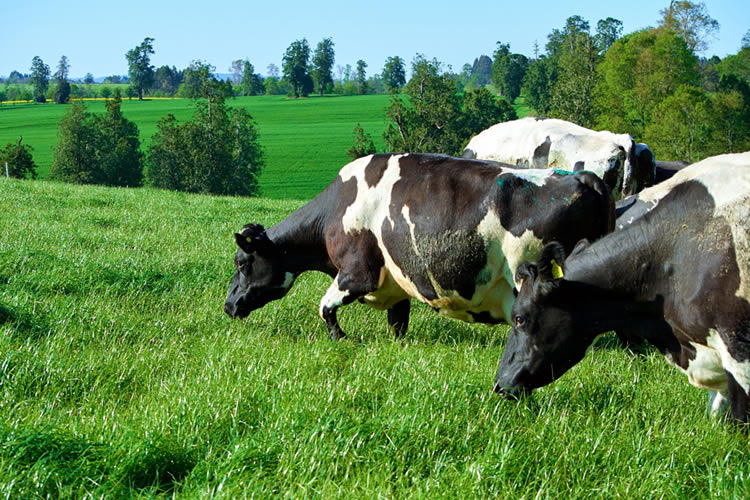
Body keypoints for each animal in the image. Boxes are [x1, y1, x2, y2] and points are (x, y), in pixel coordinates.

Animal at [225, 152, 616, 340]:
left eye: (242, 263)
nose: (228, 305)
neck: (337, 208)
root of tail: (584, 178)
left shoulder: (358, 273)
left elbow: (325, 308)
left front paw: (343, 340)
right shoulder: (396, 284)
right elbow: (398, 326)